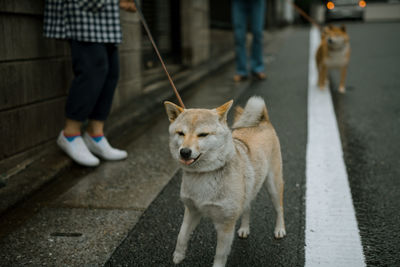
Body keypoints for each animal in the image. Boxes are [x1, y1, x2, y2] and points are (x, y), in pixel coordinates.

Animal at [164, 97, 286, 267]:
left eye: (203, 134)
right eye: (181, 133)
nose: (184, 152)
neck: (204, 174)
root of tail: (263, 120)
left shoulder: (226, 225)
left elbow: (220, 255)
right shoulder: (192, 210)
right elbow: (181, 236)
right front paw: (178, 256)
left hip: (273, 185)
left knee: (279, 208)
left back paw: (280, 229)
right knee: (247, 208)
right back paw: (244, 228)